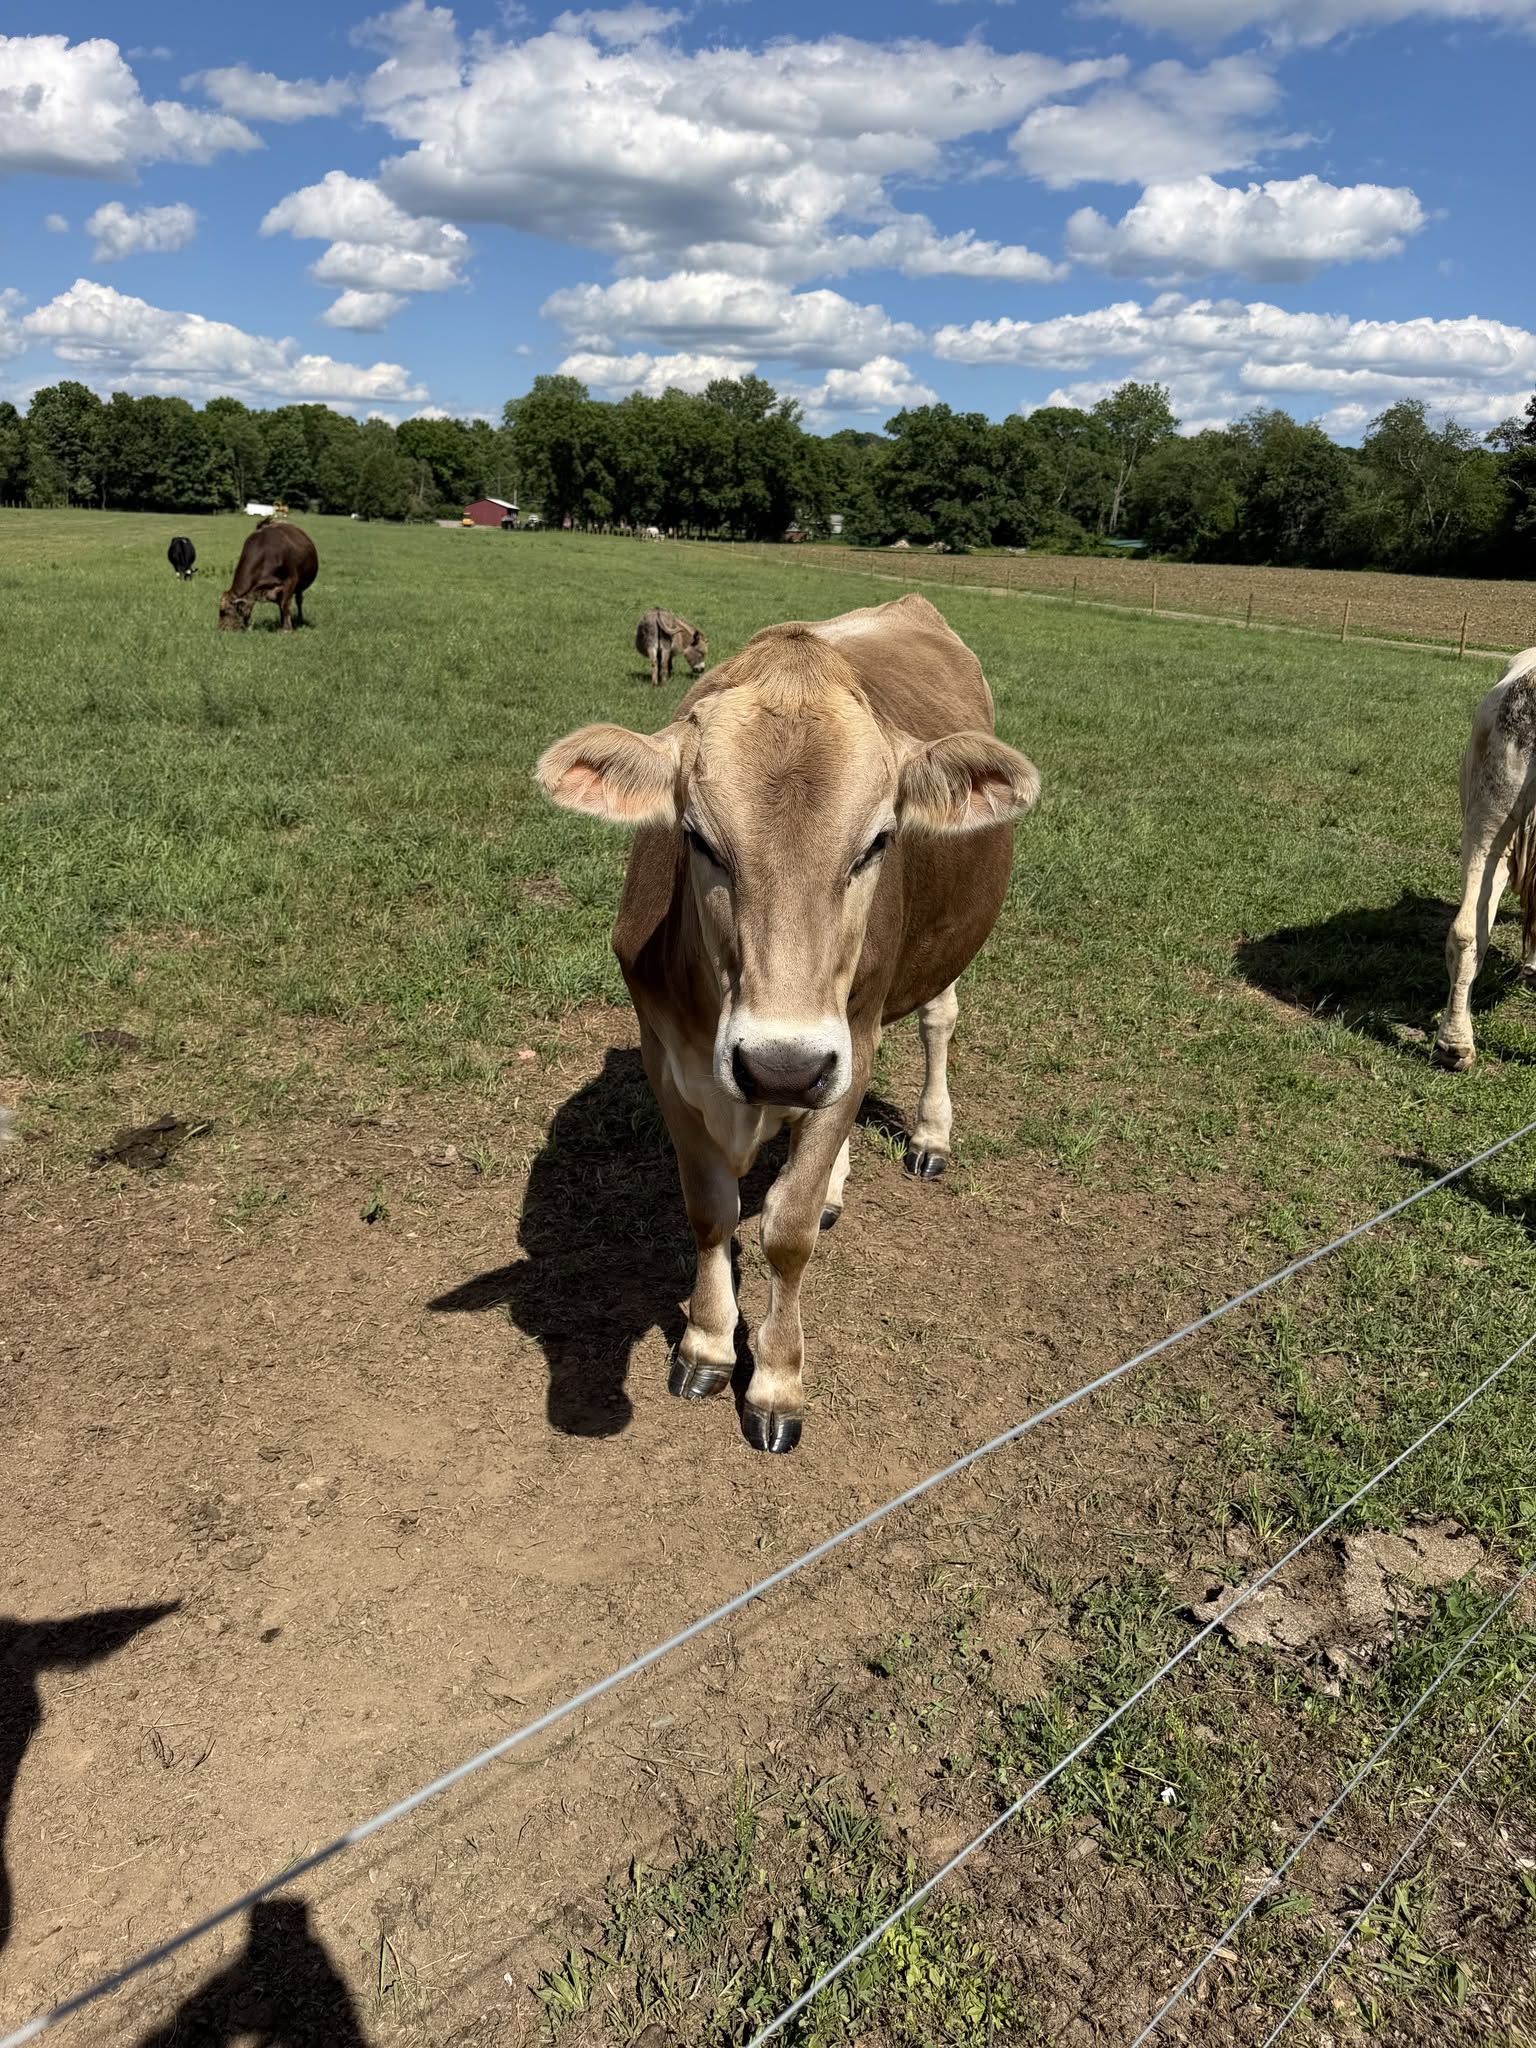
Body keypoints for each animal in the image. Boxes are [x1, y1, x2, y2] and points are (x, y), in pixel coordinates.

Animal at [536, 593, 1040, 1453]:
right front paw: (706, 1343)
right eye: (697, 838)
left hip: (931, 963)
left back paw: (930, 1135)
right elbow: (711, 1211)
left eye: (878, 840)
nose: (782, 1065)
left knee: (937, 1020)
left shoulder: (849, 1042)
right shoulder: (667, 1059)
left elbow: (788, 1229)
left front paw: (775, 1380)